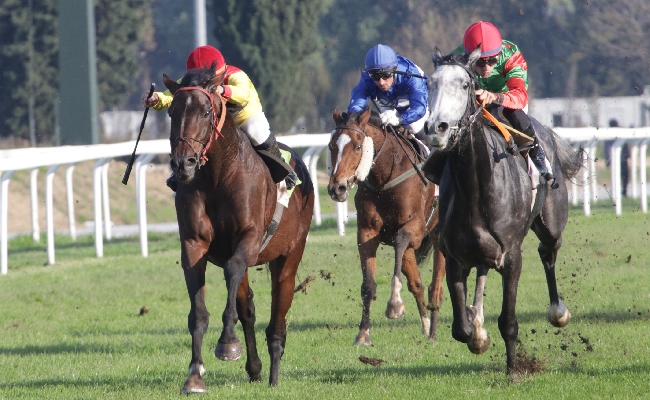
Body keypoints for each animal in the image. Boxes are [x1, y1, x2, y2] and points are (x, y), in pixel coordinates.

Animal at [162, 66, 314, 390]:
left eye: (206, 111)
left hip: (290, 254)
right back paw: (256, 368)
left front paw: (228, 343)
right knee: (248, 306)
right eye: (172, 111)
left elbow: (233, 270)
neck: (217, 175)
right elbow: (199, 312)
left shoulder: (249, 237)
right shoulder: (193, 243)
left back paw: (273, 376)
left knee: (278, 316)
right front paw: (194, 375)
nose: (184, 163)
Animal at [324, 108, 446, 344]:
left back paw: (434, 333)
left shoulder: (416, 228)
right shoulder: (366, 233)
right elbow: (368, 285)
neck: (386, 175)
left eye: (358, 146)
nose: (337, 188)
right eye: (332, 146)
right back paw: (426, 326)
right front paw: (363, 333)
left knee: (435, 287)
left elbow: (400, 240)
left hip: (440, 234)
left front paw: (395, 305)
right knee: (416, 283)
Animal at [420, 48, 584, 376]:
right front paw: (477, 334)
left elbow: (508, 321)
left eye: (465, 85)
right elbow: (460, 328)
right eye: (430, 83)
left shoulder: (511, 256)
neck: (477, 188)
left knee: (549, 251)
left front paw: (513, 370)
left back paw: (558, 311)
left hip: (551, 223)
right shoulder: (454, 256)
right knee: (483, 272)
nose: (436, 128)